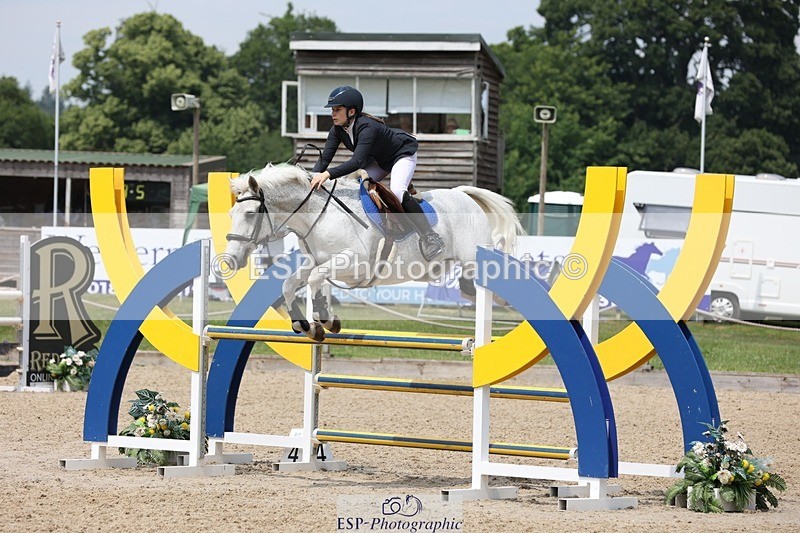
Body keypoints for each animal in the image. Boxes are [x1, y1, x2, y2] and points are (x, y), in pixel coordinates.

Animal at [221, 163, 524, 340]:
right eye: (231, 214)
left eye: (250, 213)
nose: (231, 261)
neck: (319, 215)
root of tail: (463, 194)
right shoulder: (315, 261)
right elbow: (290, 284)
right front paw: (306, 325)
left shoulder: (354, 263)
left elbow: (316, 278)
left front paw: (325, 320)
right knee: (470, 289)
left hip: (474, 259)